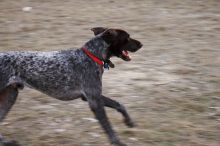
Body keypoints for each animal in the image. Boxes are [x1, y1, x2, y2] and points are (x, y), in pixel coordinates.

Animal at [0, 27, 143, 146]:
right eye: (127, 37)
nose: (141, 44)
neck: (92, 55)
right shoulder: (94, 101)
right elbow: (108, 127)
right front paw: (118, 142)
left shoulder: (92, 97)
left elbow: (119, 104)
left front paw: (129, 122)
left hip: (10, 96)